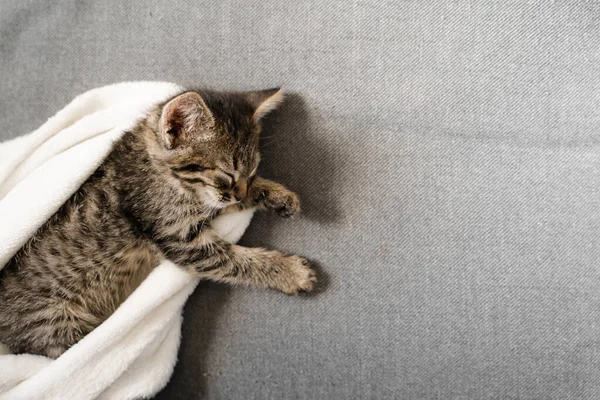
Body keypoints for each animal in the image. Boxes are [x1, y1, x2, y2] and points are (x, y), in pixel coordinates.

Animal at [0, 89, 316, 358]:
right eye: (227, 174)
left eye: (250, 174)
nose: (239, 191)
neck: (156, 165)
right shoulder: (178, 235)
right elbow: (237, 262)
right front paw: (289, 272)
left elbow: (225, 205)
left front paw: (275, 194)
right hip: (57, 323)